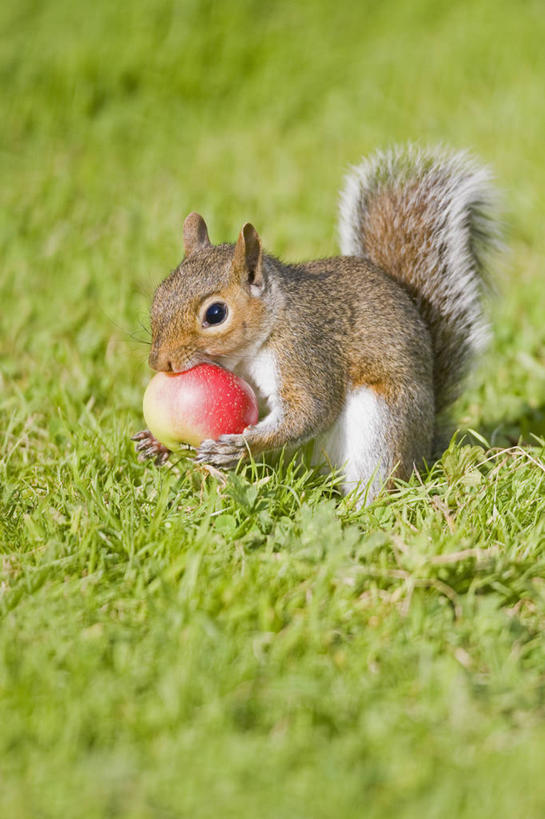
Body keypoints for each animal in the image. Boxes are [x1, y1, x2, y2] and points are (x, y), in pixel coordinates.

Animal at [134, 144, 500, 502]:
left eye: (215, 314)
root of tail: (425, 446)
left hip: (380, 430)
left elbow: (310, 410)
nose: (159, 362)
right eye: (159, 293)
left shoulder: (306, 350)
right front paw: (155, 443)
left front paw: (241, 446)